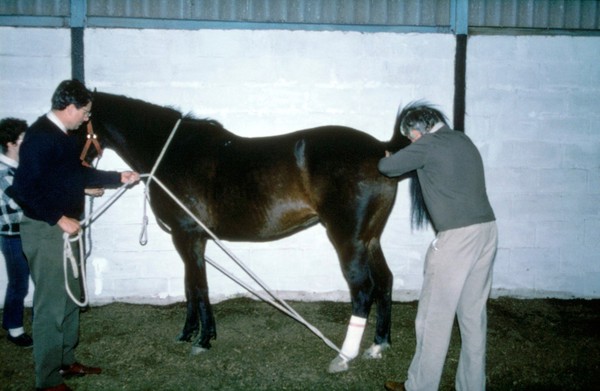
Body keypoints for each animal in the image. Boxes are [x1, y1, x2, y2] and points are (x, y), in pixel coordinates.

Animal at [86, 92, 424, 374]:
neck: (173, 153)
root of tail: (382, 148)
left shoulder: (187, 236)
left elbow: (198, 287)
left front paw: (201, 340)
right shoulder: (194, 240)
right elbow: (193, 287)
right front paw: (192, 334)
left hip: (349, 240)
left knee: (363, 290)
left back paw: (343, 356)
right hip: (370, 238)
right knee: (385, 281)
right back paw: (379, 345)